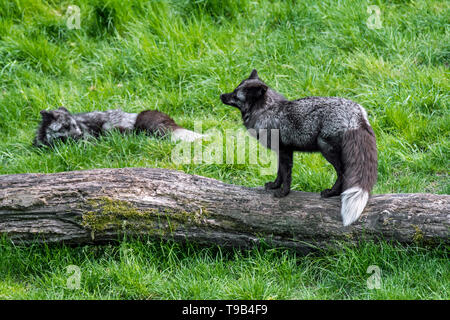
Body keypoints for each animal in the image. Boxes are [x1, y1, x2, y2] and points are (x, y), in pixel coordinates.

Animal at [220, 70, 378, 225]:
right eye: (234, 90)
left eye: (235, 95)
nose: (221, 95)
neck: (268, 111)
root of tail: (357, 113)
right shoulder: (283, 152)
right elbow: (280, 173)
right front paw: (274, 185)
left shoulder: (284, 151)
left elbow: (286, 175)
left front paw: (283, 193)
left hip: (326, 148)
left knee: (342, 173)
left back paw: (331, 192)